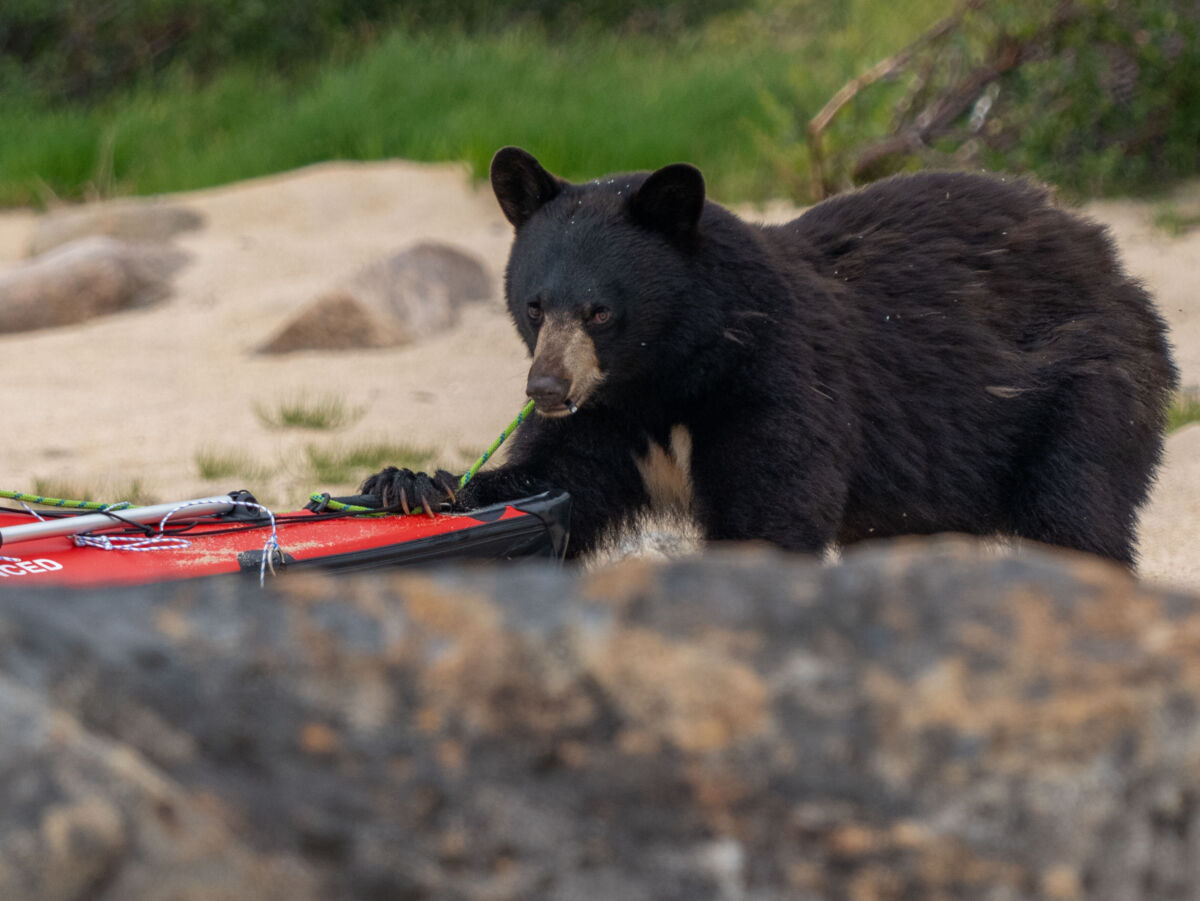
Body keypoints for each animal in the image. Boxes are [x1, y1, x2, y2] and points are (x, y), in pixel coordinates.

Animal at [362, 146, 1178, 566]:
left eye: (600, 309)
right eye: (535, 304)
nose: (548, 389)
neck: (669, 377)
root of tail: (1105, 252)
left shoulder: (778, 381)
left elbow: (770, 510)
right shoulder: (608, 421)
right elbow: (551, 482)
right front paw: (408, 483)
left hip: (1085, 392)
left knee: (1076, 518)